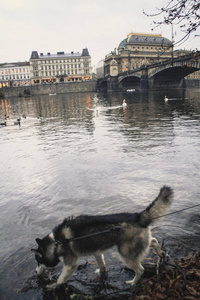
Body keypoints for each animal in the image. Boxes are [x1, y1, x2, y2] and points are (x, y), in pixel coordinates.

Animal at [31, 185, 173, 288]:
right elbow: (102, 264)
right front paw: (102, 272)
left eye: (38, 261)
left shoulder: (70, 265)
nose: (35, 272)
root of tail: (138, 217)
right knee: (153, 240)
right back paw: (160, 253)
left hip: (126, 255)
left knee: (140, 270)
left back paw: (133, 282)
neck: (56, 242)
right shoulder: (97, 252)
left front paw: (52, 286)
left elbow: (60, 280)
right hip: (139, 244)